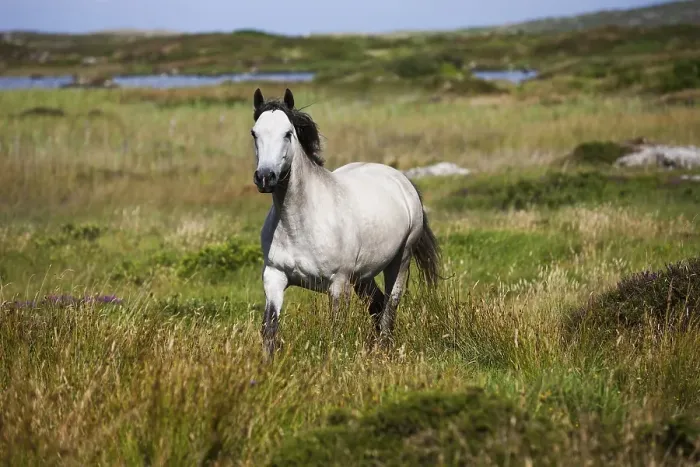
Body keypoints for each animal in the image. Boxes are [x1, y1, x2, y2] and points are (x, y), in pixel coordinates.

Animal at [250, 88, 441, 359]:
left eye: (288, 133)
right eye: (254, 133)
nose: (265, 178)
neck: (299, 224)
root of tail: (402, 180)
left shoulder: (338, 283)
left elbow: (335, 330)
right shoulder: (274, 276)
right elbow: (269, 328)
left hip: (400, 261)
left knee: (390, 307)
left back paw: (383, 350)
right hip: (363, 275)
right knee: (377, 304)